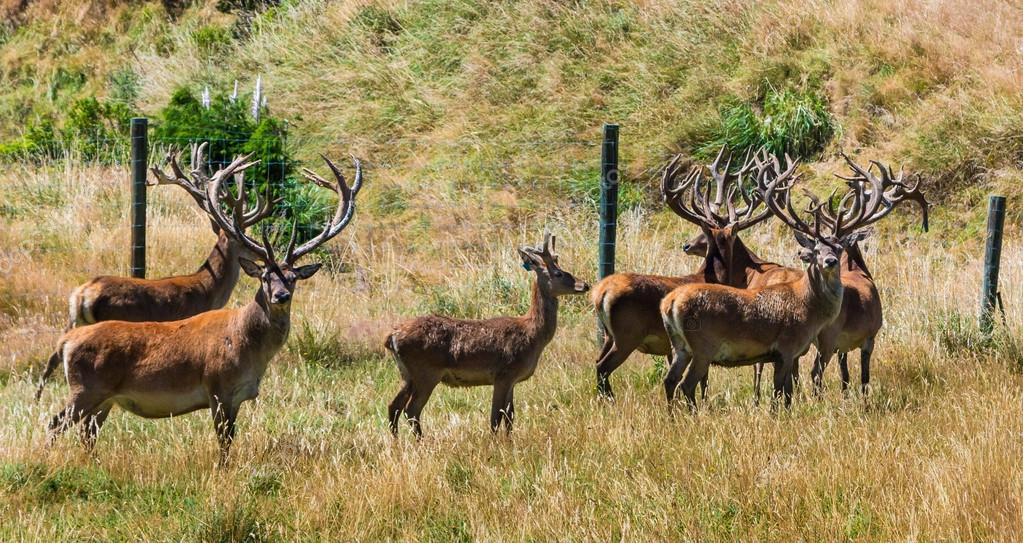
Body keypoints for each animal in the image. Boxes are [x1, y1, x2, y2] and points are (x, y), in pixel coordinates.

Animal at [385, 232, 590, 437]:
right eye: (558, 273)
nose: (585, 285)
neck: (533, 335)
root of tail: (391, 337)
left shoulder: (511, 380)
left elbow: (510, 417)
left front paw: (509, 441)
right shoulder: (504, 374)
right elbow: (495, 418)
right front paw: (494, 442)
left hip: (407, 374)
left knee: (393, 406)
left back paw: (397, 440)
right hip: (426, 371)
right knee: (411, 409)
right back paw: (421, 440)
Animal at [593, 148, 800, 399]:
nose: (686, 245)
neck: (711, 275)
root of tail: (601, 294)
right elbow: (703, 380)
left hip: (608, 335)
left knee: (597, 363)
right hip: (628, 334)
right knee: (603, 367)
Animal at [660, 154, 890, 410]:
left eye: (839, 248)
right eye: (816, 250)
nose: (830, 261)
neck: (808, 307)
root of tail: (668, 304)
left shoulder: (789, 353)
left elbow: (785, 392)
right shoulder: (786, 347)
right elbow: (780, 392)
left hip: (680, 347)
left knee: (669, 380)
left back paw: (672, 415)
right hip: (703, 346)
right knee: (686, 384)